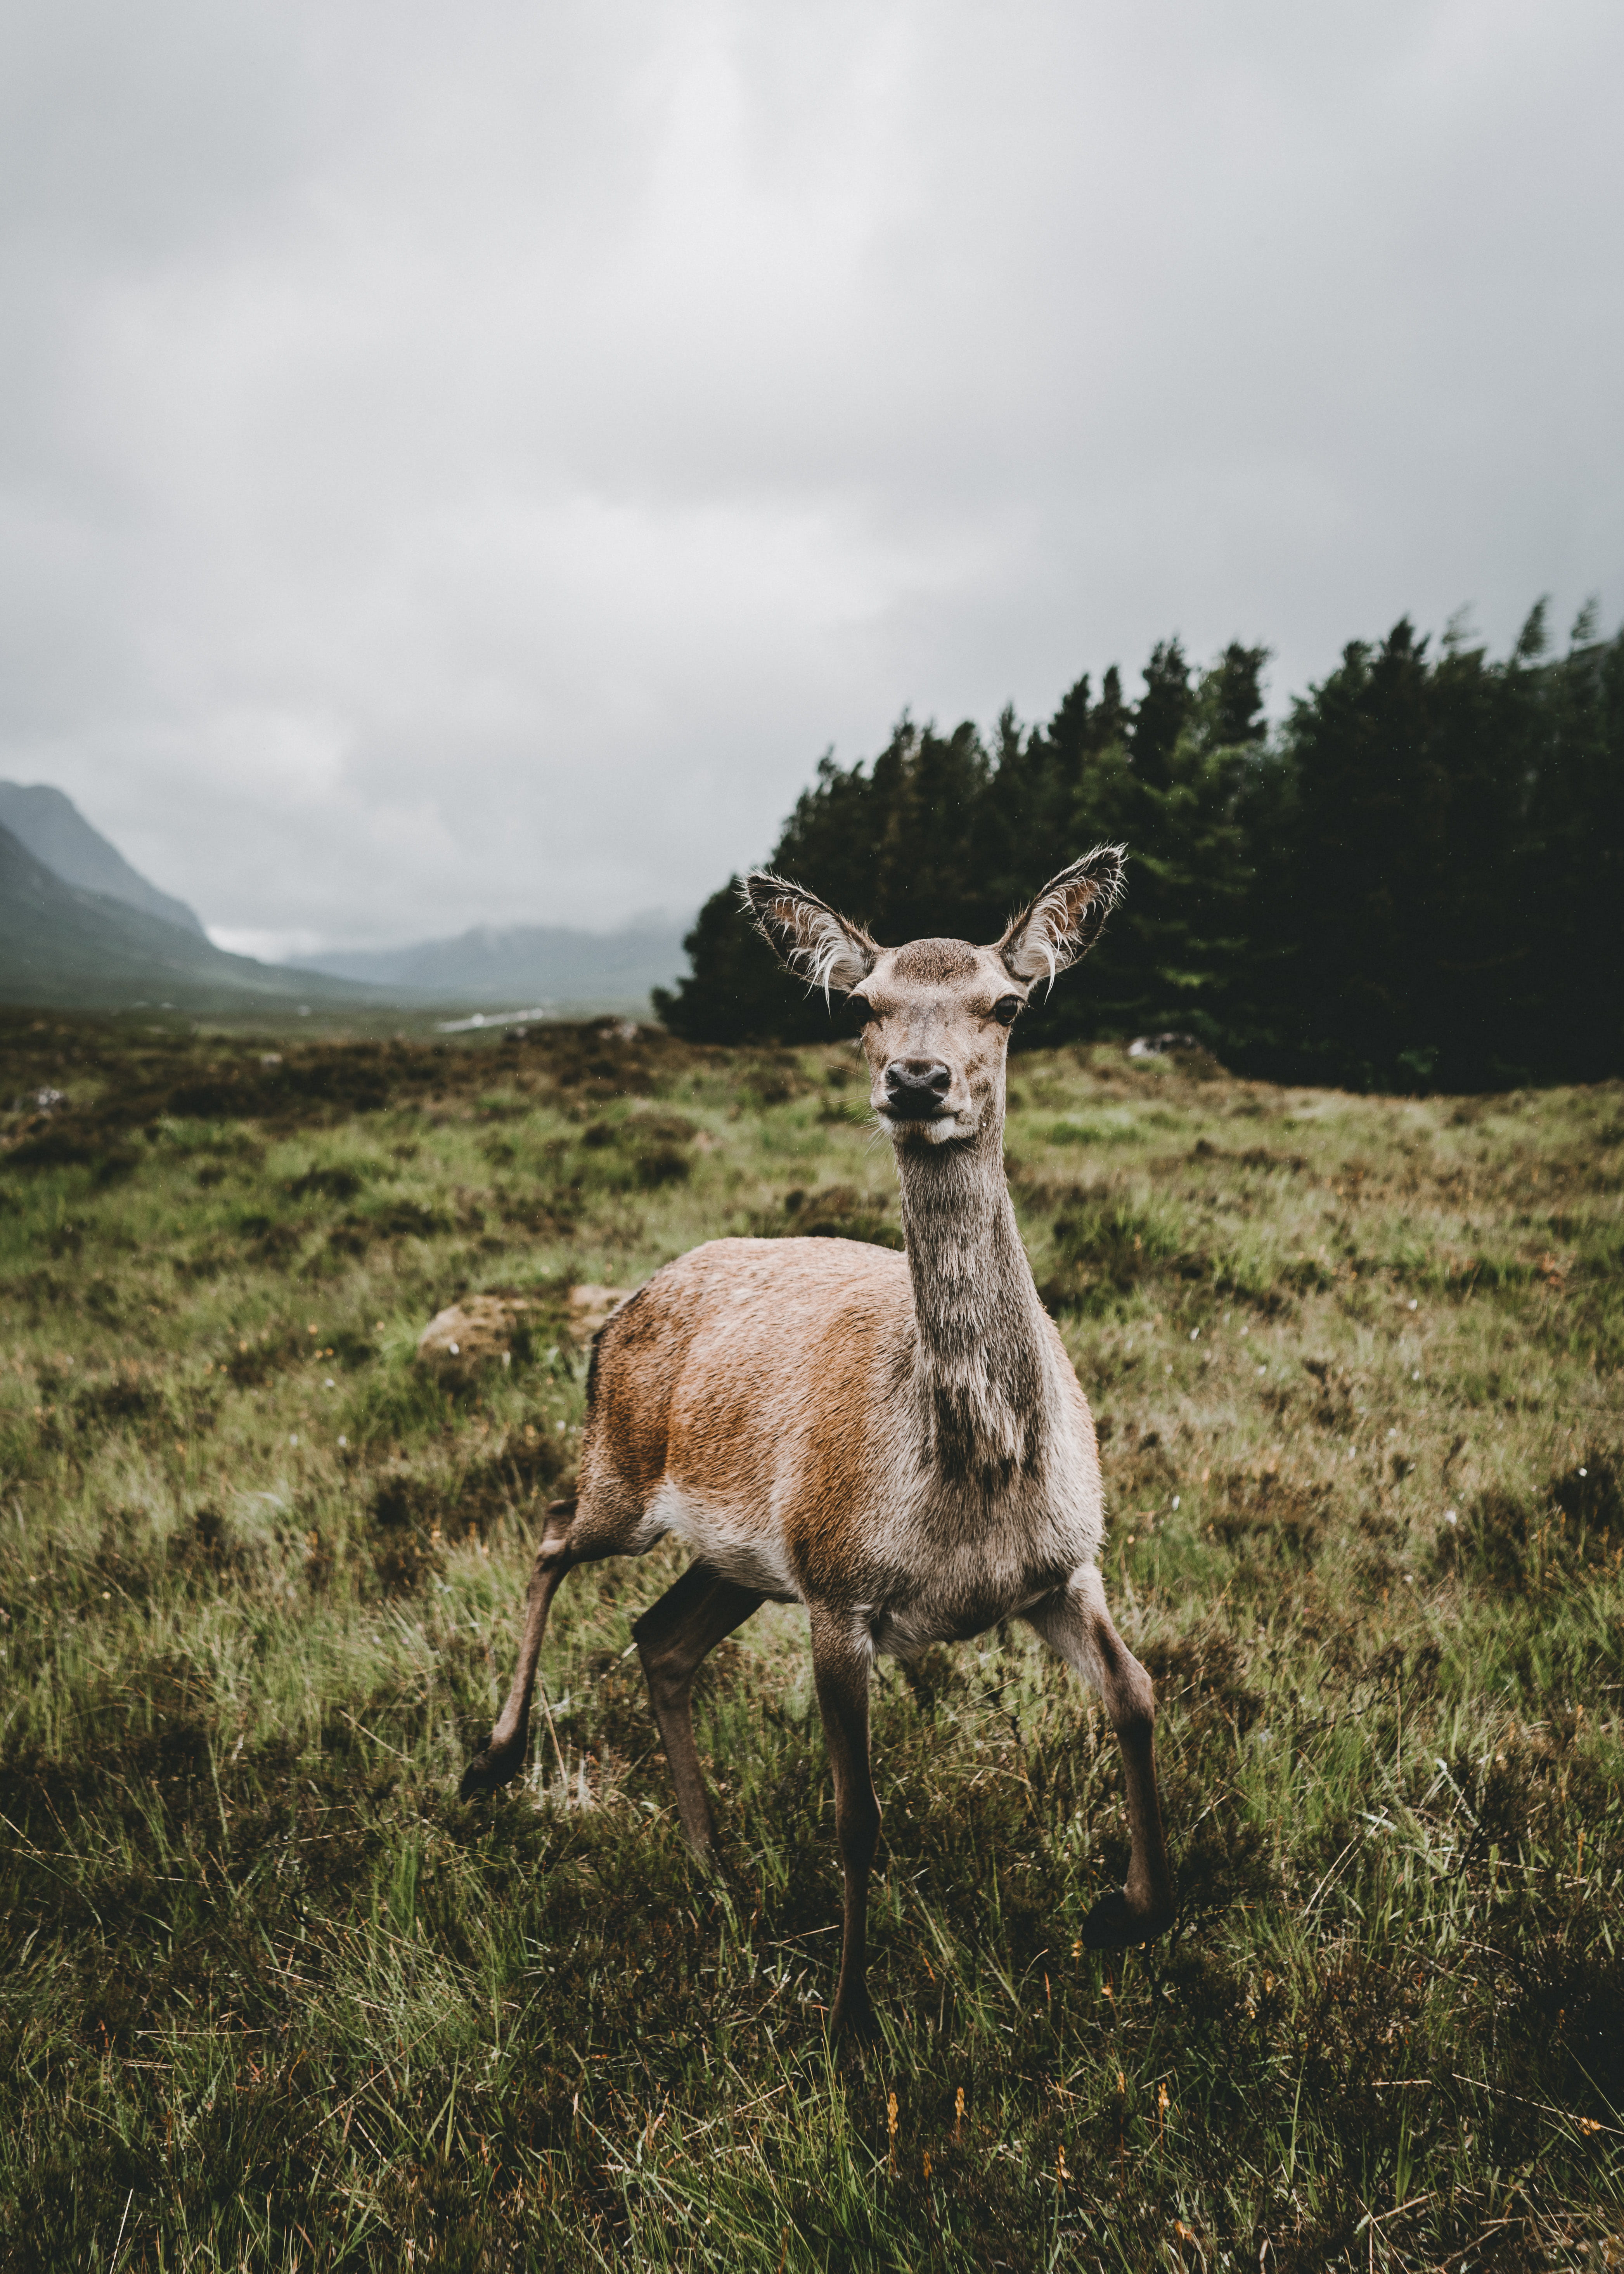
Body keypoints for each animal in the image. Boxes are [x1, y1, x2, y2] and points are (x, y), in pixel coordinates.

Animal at [460, 847, 1175, 2033]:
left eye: (1007, 1002)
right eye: (865, 1004)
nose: (919, 1082)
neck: (976, 1479)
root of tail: (620, 1310)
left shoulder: (1066, 1566)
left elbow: (1138, 1695)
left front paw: (1125, 1910)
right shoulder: (842, 1593)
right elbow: (858, 1818)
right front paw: (849, 2024)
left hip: (741, 1560)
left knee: (661, 1639)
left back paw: (715, 1865)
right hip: (628, 1473)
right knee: (553, 1530)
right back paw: (491, 1762)